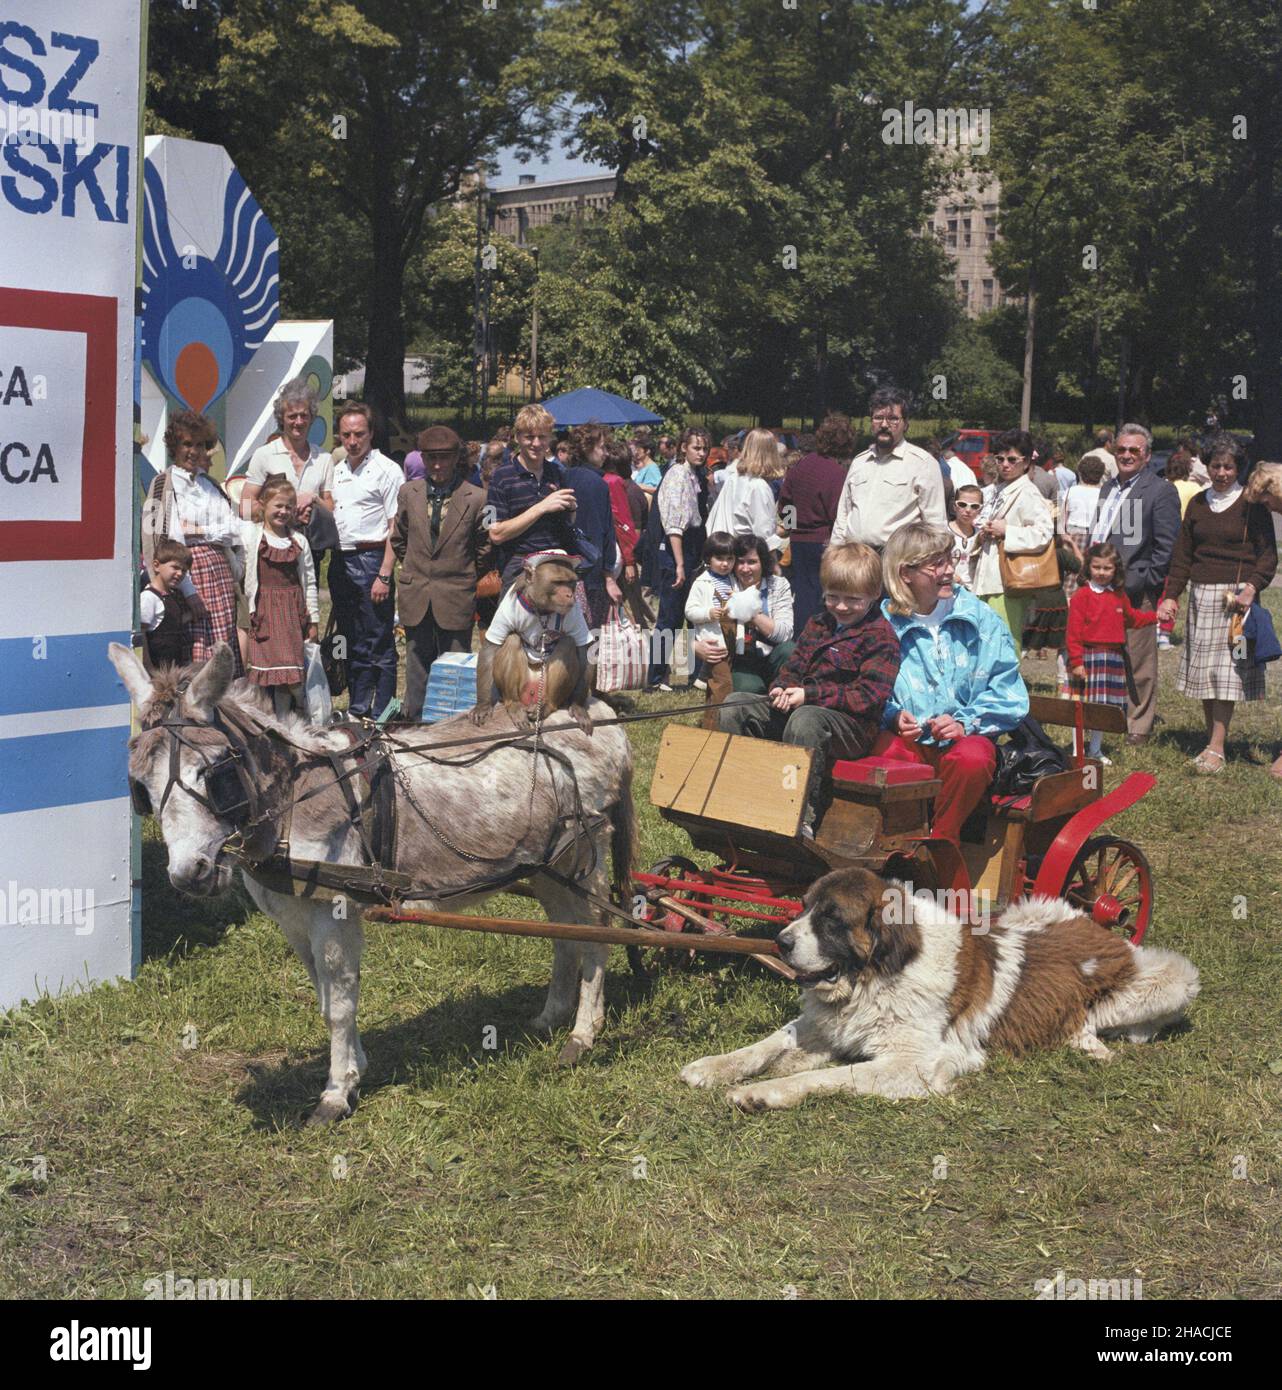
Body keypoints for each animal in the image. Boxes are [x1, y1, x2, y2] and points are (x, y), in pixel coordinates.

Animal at [469, 550, 595, 739]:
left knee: (567, 642)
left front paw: (578, 707)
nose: (569, 595)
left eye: (570, 582)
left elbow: (583, 653)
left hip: (544, 689)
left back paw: (545, 707)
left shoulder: (574, 612)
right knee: (513, 639)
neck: (542, 609)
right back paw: (514, 705)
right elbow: (491, 649)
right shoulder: (506, 609)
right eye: (558, 582)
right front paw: (483, 705)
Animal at [684, 867, 1195, 1106]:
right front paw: (713, 1066)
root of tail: (1099, 921)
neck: (876, 977)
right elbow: (770, 1042)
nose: (781, 941)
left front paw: (761, 1093)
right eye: (804, 907)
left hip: (1173, 980)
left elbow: (826, 1076)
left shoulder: (915, 1064)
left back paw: (1089, 1042)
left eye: (831, 919)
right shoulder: (823, 1025)